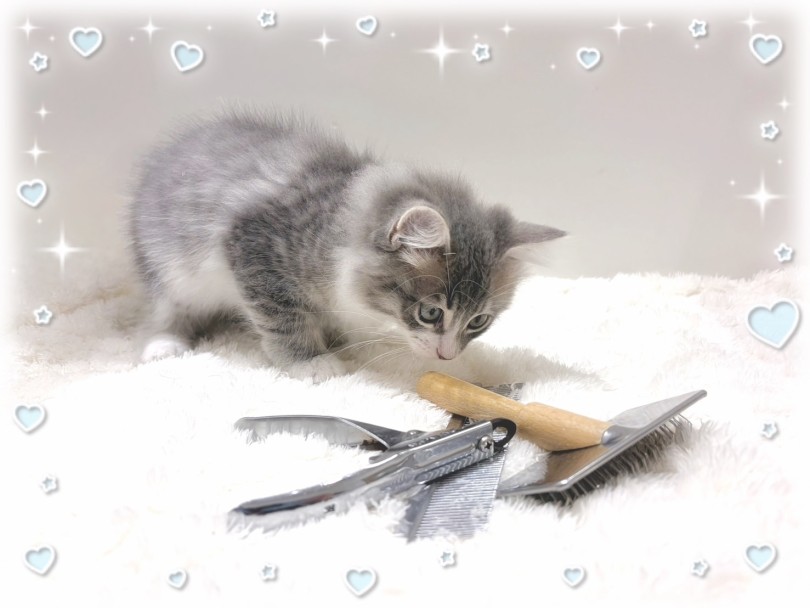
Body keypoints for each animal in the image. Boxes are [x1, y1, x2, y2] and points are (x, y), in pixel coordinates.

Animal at [127, 109, 565, 379]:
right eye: (430, 314)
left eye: (478, 322)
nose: (448, 356)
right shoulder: (254, 244)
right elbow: (283, 315)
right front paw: (309, 362)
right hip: (167, 264)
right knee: (167, 308)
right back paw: (164, 343)